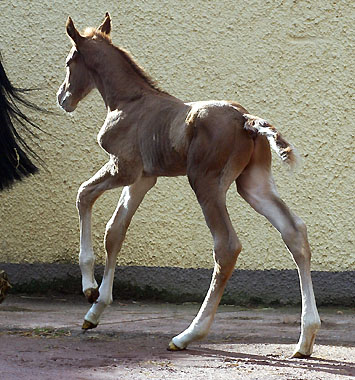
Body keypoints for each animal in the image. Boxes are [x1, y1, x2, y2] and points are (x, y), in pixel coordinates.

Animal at [58, 13, 322, 358]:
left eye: (69, 62)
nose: (62, 98)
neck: (129, 101)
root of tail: (246, 120)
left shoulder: (123, 168)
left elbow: (84, 195)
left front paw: (89, 289)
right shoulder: (143, 179)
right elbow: (115, 231)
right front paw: (95, 311)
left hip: (205, 182)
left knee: (227, 246)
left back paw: (187, 335)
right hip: (253, 184)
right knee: (294, 231)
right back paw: (305, 339)